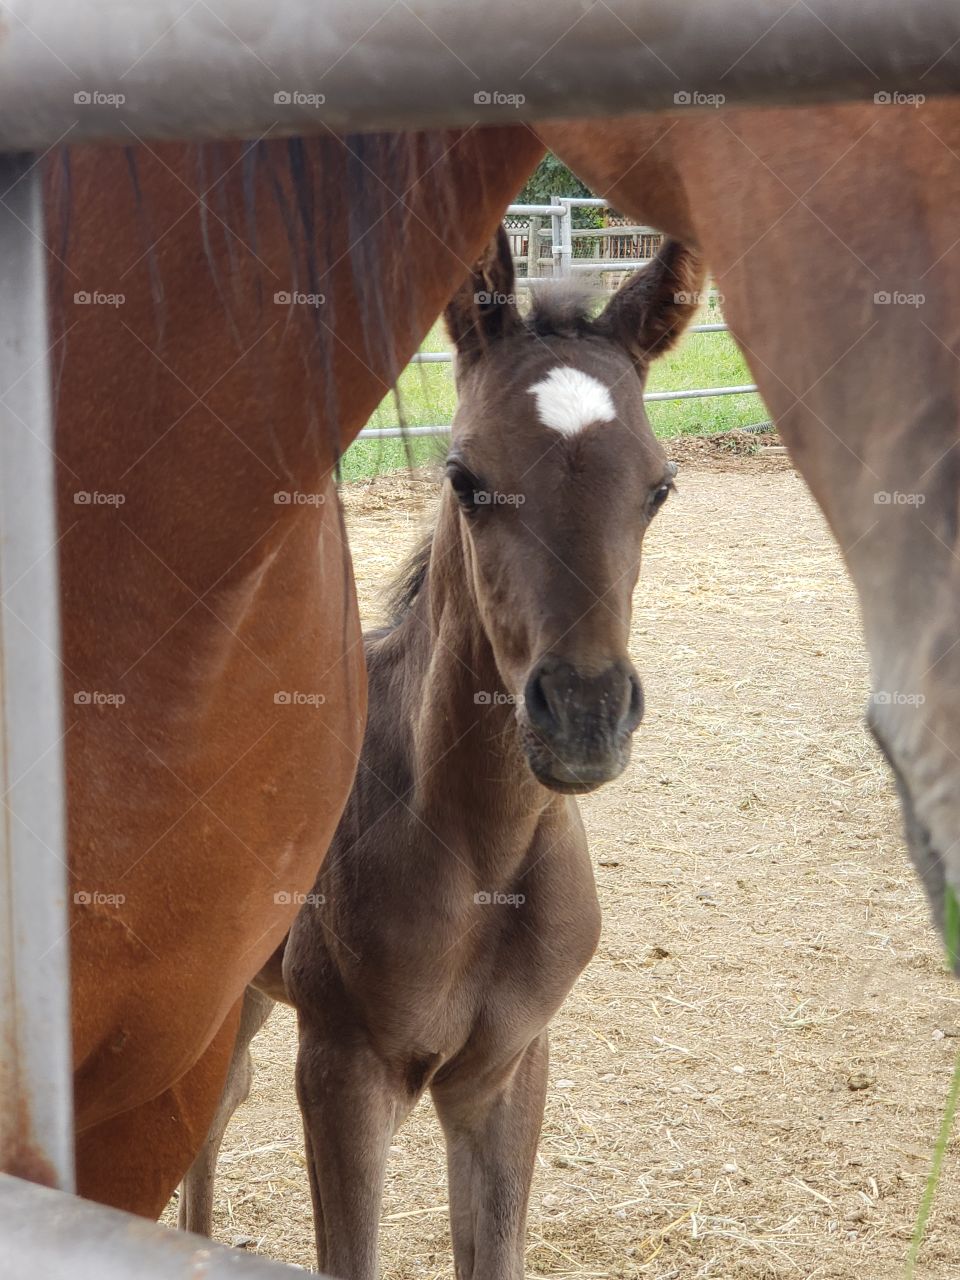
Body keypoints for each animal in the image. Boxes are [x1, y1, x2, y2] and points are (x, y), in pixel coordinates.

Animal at [177, 228, 703, 1272]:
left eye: (659, 487)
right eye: (463, 477)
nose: (583, 715)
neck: (478, 858)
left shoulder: (504, 1074)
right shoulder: (342, 1071)